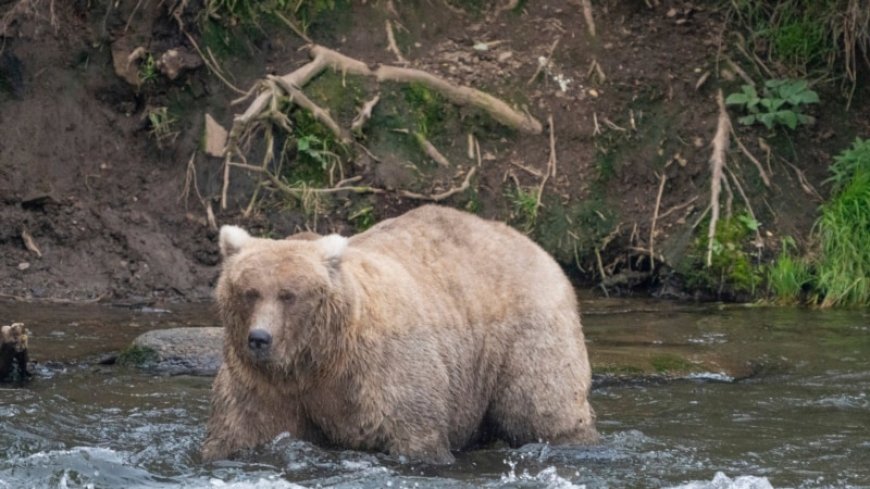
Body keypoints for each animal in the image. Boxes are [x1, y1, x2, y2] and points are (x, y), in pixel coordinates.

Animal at [203, 203, 600, 462]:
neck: (318, 359)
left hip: (525, 333)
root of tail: (533, 245)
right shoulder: (263, 385)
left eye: (289, 295)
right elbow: (240, 430)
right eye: (250, 291)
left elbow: (413, 432)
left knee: (542, 406)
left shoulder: (381, 372)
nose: (259, 338)